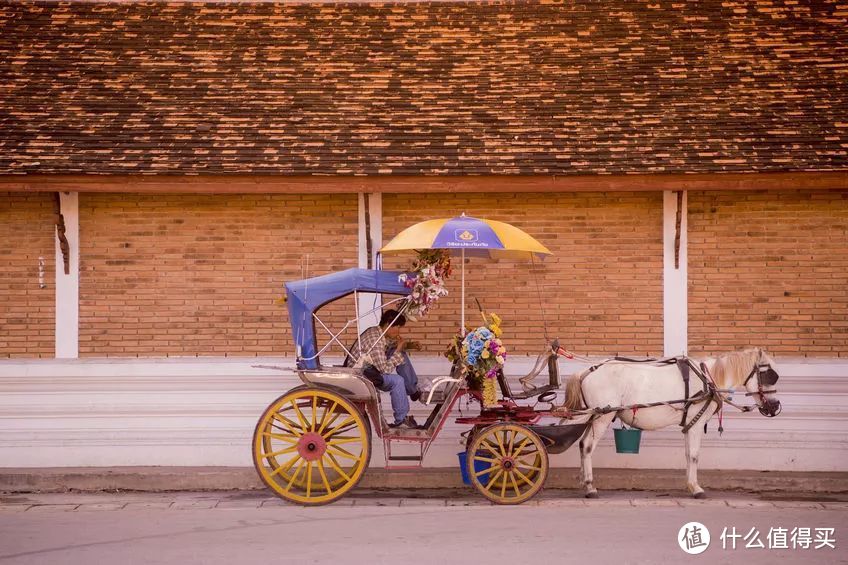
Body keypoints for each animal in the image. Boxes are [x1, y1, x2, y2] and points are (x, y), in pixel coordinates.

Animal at [564, 346, 780, 496]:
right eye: (769, 374)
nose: (776, 406)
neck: (708, 380)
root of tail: (586, 371)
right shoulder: (697, 424)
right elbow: (694, 455)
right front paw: (696, 488)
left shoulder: (690, 423)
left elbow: (687, 455)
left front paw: (690, 485)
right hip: (603, 416)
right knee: (588, 446)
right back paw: (590, 486)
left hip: (593, 416)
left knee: (582, 444)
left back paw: (583, 481)